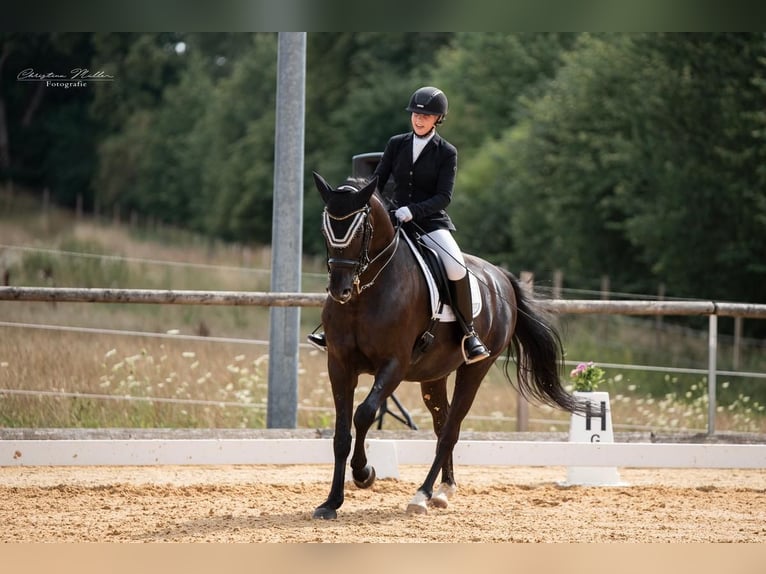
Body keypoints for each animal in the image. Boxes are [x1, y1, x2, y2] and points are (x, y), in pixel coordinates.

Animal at [311, 172, 586, 519]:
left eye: (360, 230)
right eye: (325, 230)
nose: (340, 290)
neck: (368, 291)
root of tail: (500, 278)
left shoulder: (394, 365)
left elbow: (364, 414)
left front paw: (365, 474)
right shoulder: (339, 365)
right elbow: (340, 435)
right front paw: (331, 503)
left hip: (476, 369)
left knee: (451, 429)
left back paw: (423, 494)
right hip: (434, 375)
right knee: (442, 425)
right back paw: (443, 490)